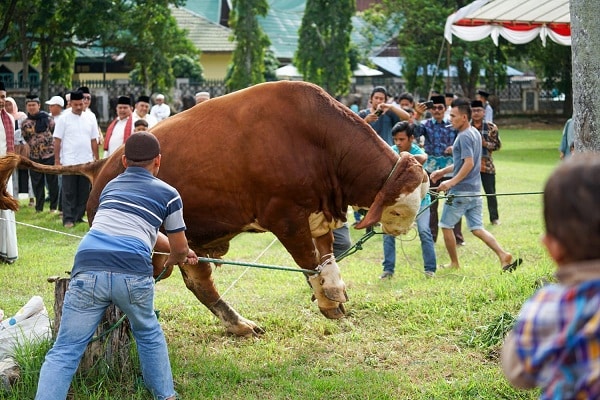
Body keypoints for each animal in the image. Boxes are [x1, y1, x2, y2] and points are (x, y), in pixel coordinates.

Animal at [0, 81, 426, 338]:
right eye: (399, 212)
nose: (402, 231)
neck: (317, 139)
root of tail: (101, 163)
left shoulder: (319, 215)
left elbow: (326, 261)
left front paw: (333, 296)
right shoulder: (285, 217)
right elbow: (310, 262)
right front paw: (328, 299)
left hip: (185, 241)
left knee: (199, 279)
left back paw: (239, 325)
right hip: (149, 248)